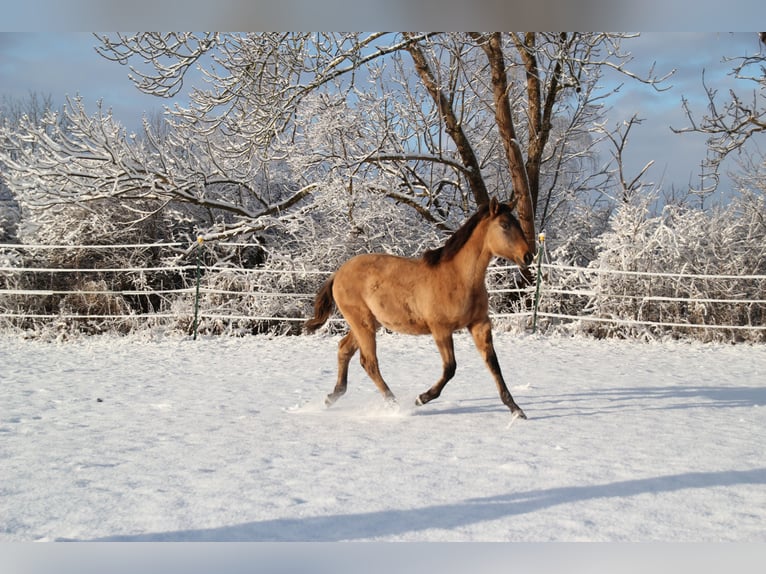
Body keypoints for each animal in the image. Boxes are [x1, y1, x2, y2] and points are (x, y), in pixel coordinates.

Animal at [304, 197, 536, 418]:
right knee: (369, 362)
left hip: (368, 324)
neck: (458, 278)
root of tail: (337, 273)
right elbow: (450, 368)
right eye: (504, 225)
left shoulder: (479, 324)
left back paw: (332, 397)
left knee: (344, 349)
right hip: (363, 324)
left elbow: (493, 364)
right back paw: (395, 405)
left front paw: (516, 410)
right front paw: (421, 398)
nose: (528, 256)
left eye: (517, 223)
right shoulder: (440, 329)